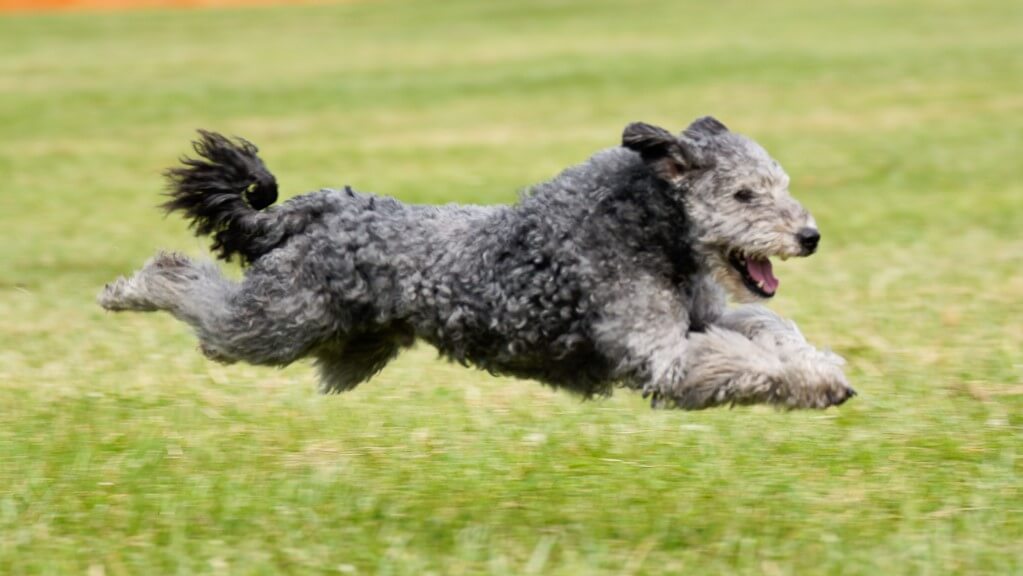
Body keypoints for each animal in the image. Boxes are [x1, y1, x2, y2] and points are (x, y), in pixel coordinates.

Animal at [101, 116, 855, 409]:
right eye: (744, 194)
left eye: (781, 185)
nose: (810, 235)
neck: (648, 229)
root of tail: (332, 206)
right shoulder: (661, 356)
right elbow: (743, 361)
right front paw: (802, 381)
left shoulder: (705, 316)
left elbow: (769, 329)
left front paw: (820, 374)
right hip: (273, 324)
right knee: (189, 287)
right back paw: (129, 288)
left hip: (339, 341)